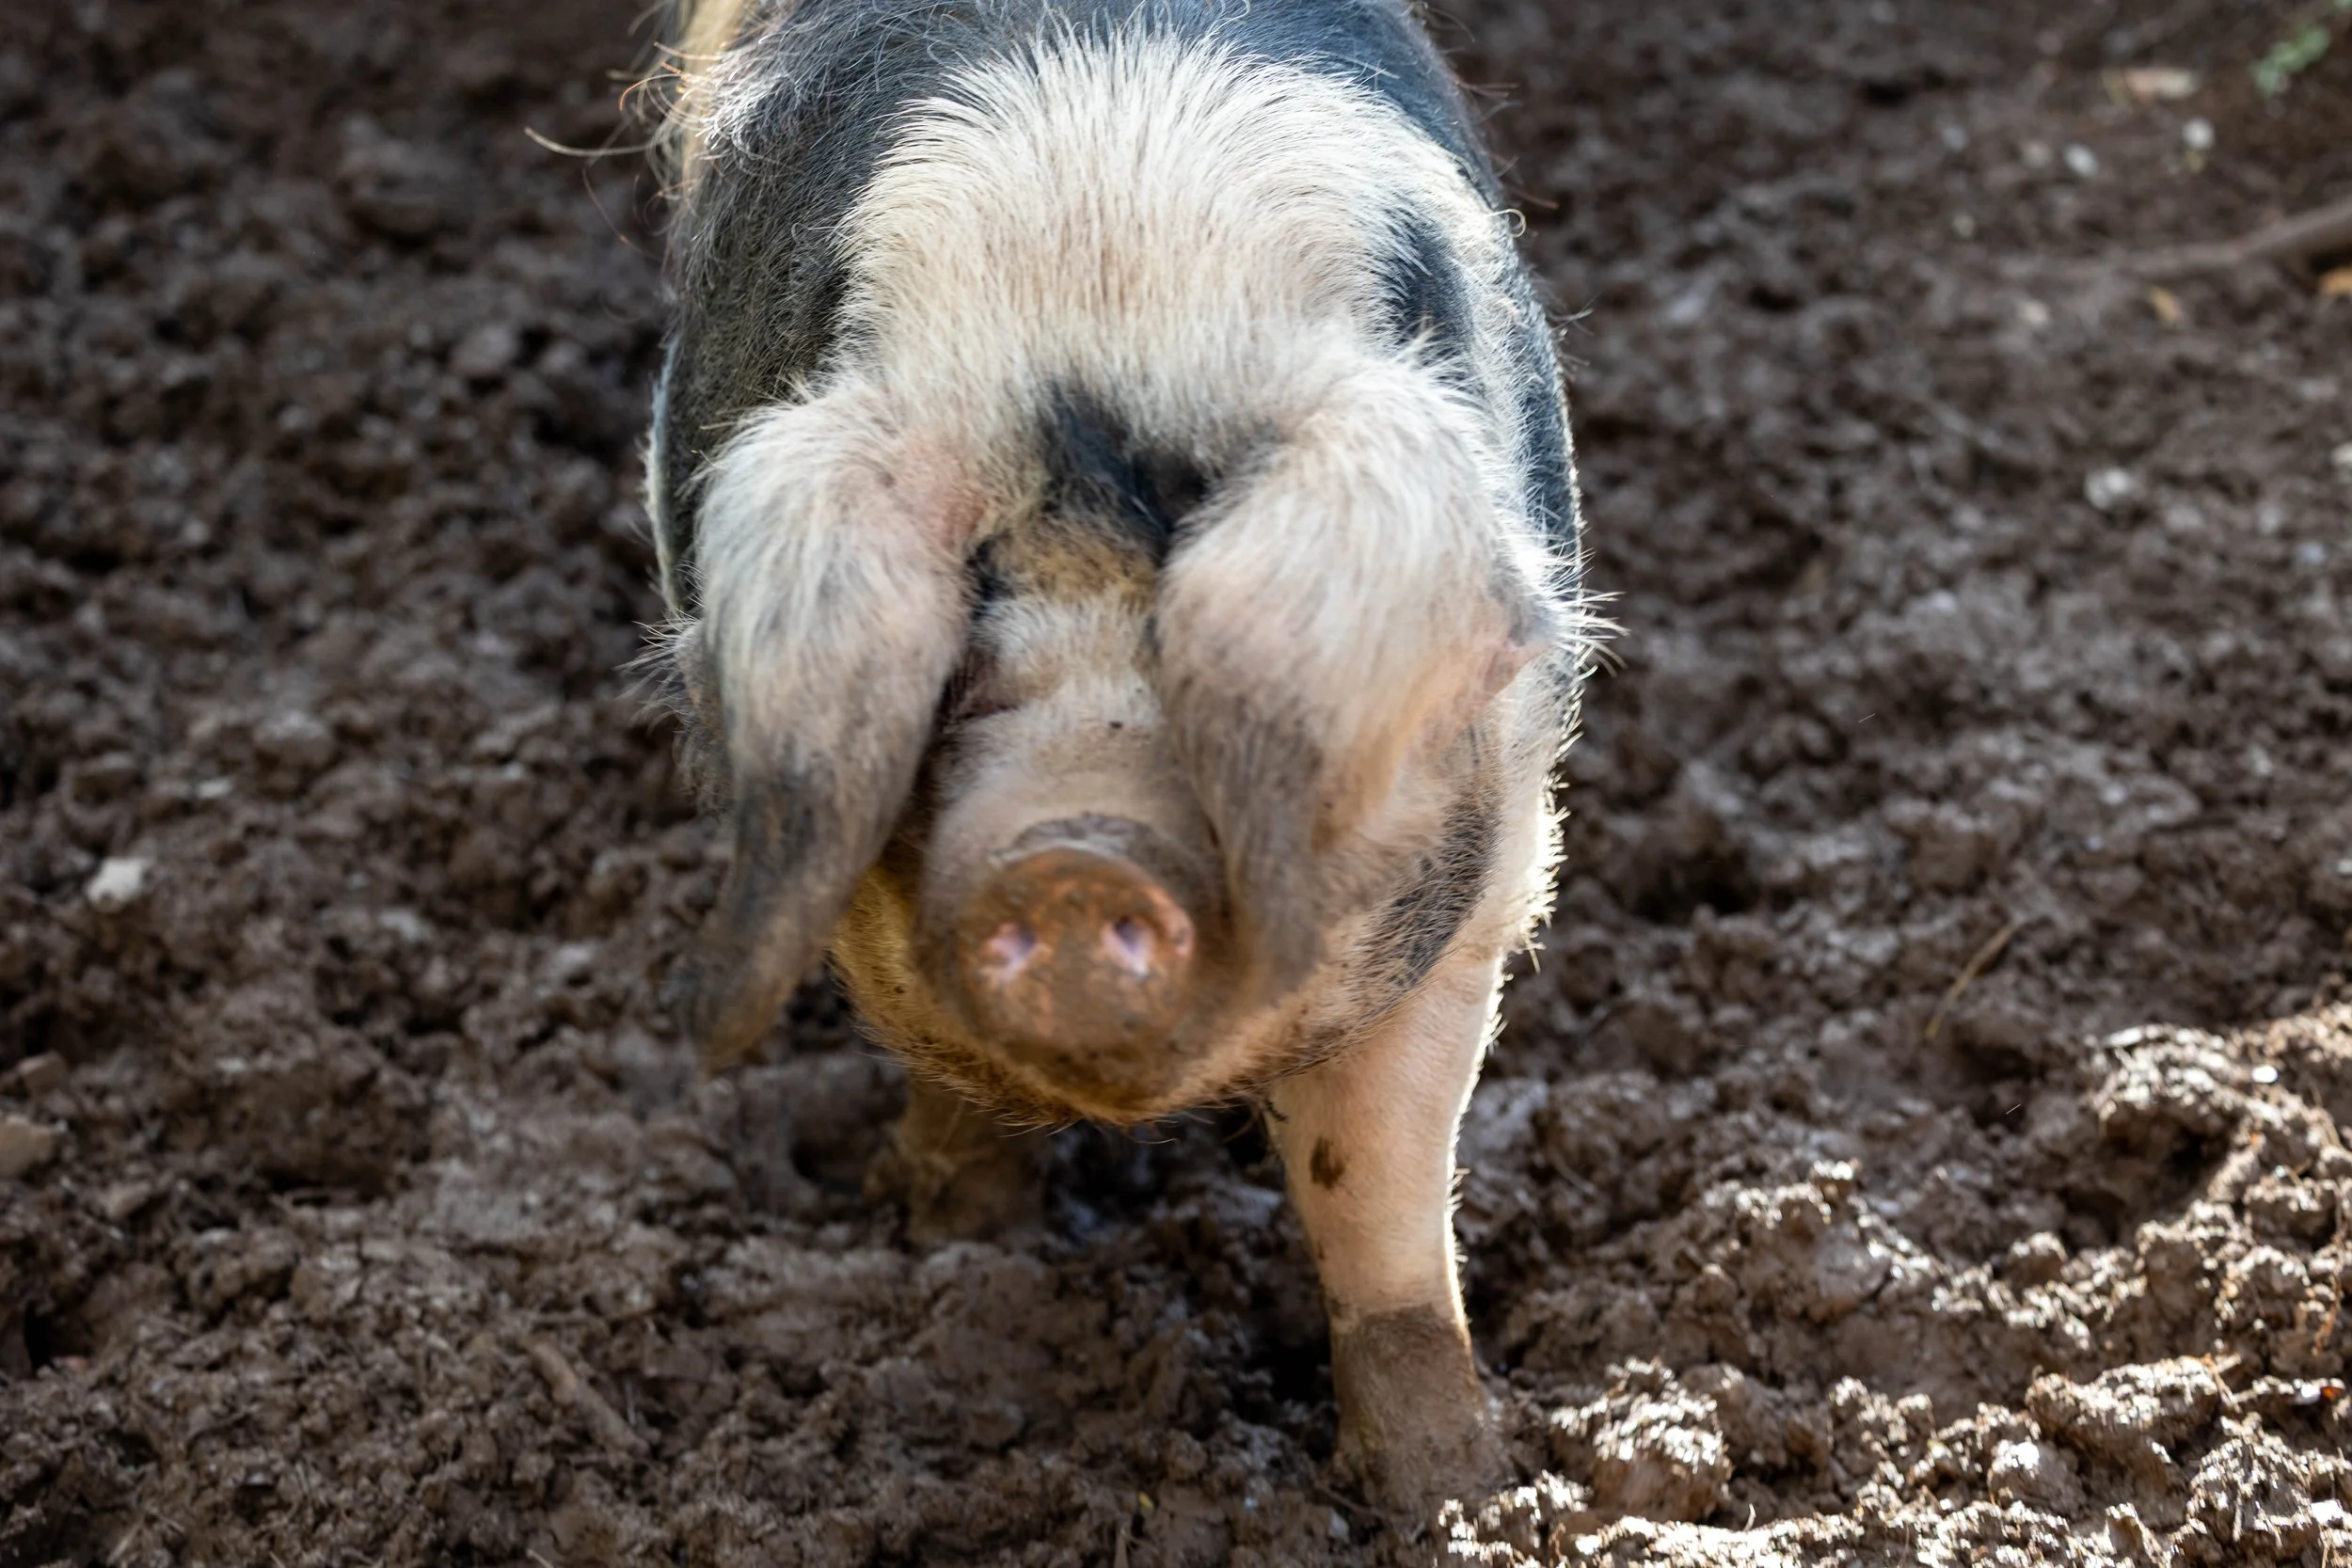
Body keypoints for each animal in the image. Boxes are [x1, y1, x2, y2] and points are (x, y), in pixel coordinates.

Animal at [639, 0, 1592, 1511]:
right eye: (963, 677)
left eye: (1186, 665)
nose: (1072, 856)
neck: (1098, 316)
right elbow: (951, 1088)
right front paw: (953, 1243)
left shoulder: (1480, 880)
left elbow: (1377, 1183)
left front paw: (1447, 1490)